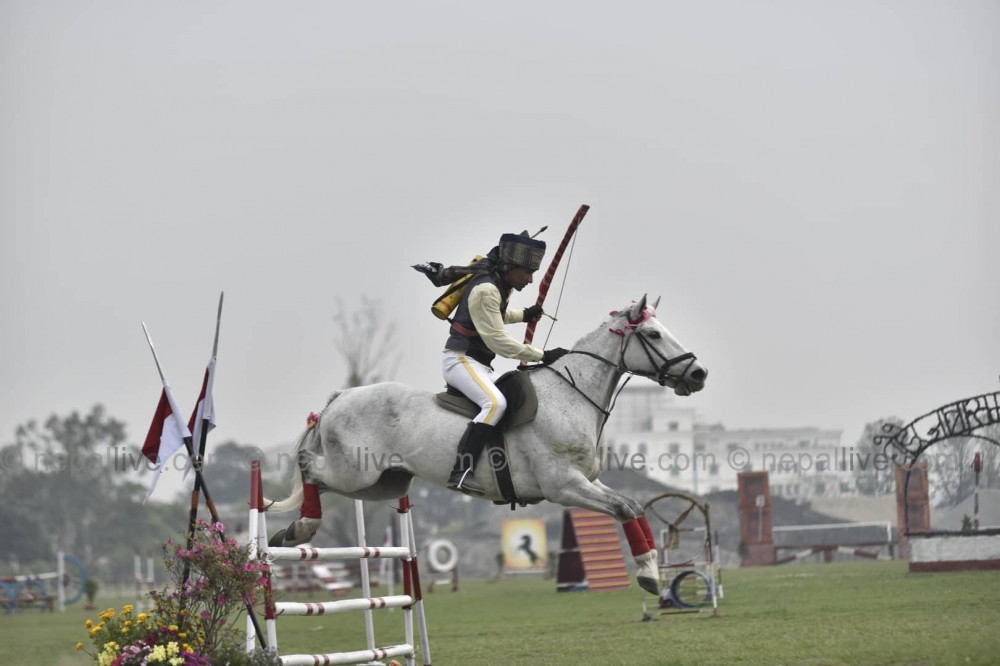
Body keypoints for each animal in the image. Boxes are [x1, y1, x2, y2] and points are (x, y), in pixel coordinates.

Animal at [264, 295, 708, 595]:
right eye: (653, 334)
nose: (698, 374)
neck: (572, 395)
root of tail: (341, 396)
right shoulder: (564, 486)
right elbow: (623, 509)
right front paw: (648, 575)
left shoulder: (587, 481)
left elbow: (632, 506)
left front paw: (651, 570)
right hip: (355, 473)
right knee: (308, 464)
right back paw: (298, 529)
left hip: (383, 483)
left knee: (320, 480)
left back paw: (293, 530)